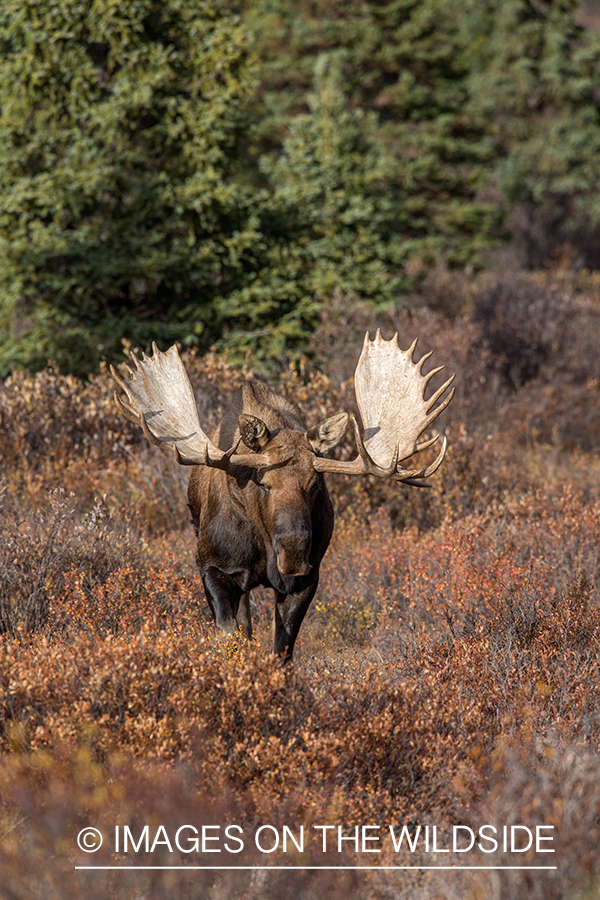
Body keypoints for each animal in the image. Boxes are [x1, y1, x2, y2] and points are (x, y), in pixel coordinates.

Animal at [110, 330, 452, 660]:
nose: (294, 551)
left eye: (315, 484)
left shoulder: (307, 580)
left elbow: (282, 651)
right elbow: (229, 635)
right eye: (263, 484)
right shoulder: (211, 567)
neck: (264, 547)